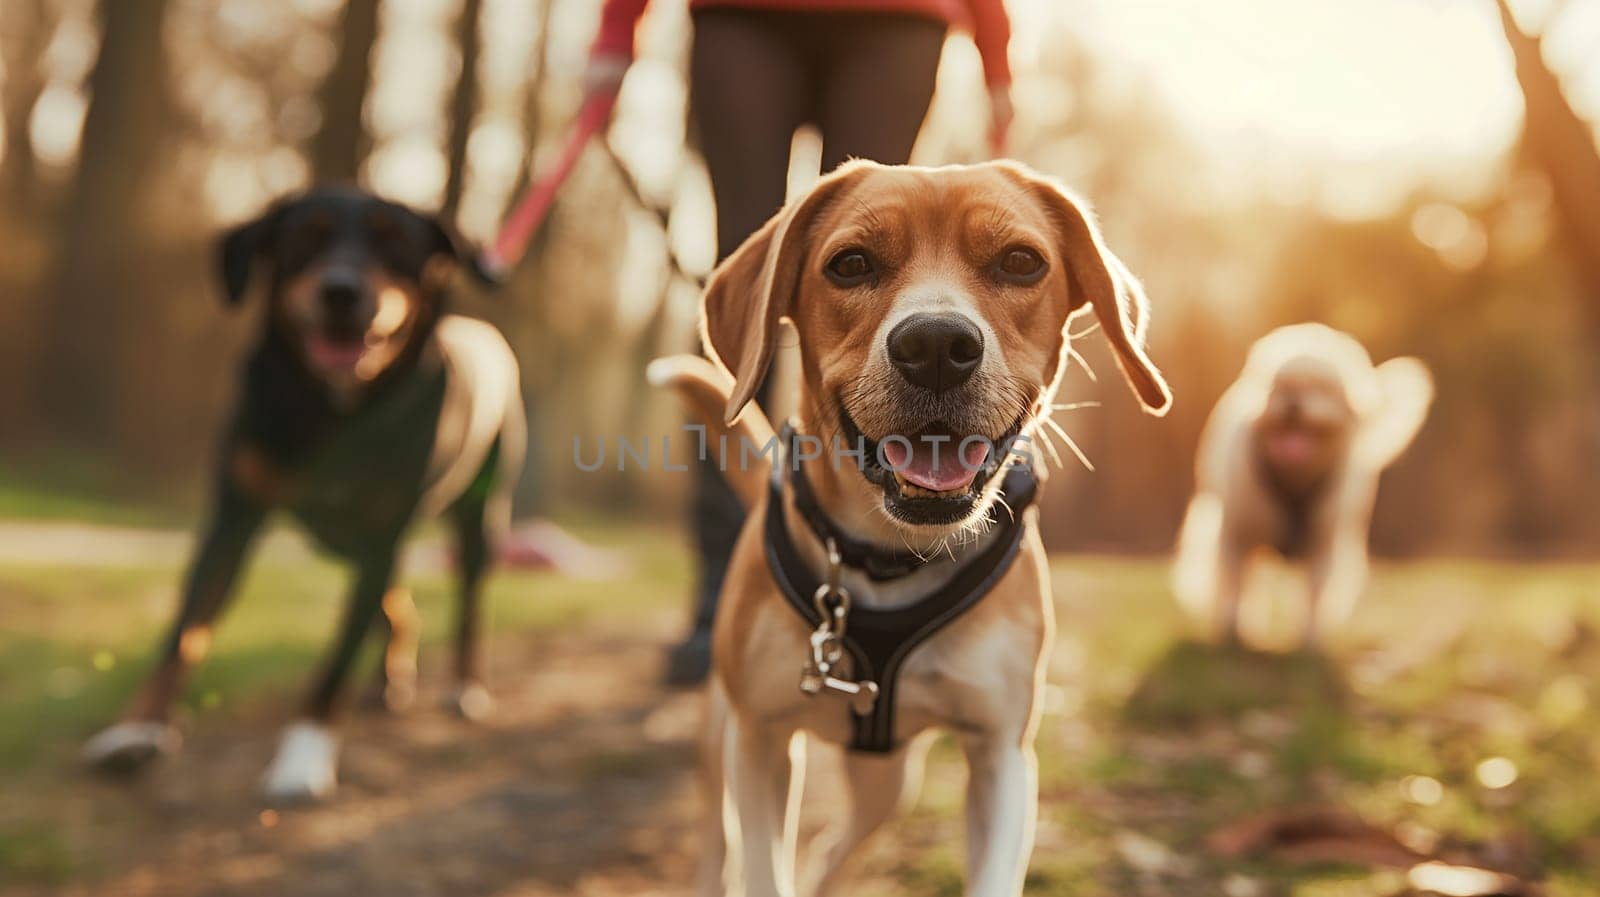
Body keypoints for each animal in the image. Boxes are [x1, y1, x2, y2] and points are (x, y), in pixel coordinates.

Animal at [82, 187, 524, 796]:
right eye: (304, 239)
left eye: (394, 243)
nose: (341, 291)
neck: (330, 411)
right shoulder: (233, 518)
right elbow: (185, 632)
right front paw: (137, 731)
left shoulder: (381, 535)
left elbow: (334, 665)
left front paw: (302, 758)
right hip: (347, 544)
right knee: (398, 606)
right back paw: (389, 680)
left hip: (477, 513)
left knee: (467, 605)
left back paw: (464, 687)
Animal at [646, 160, 1164, 895]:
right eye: (851, 263)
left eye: (1020, 262)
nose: (937, 345)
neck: (892, 555)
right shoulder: (760, 741)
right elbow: (762, 868)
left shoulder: (1002, 756)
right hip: (724, 741)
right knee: (720, 847)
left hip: (888, 781)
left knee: (835, 846)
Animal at [1171, 321, 1433, 642]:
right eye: (1280, 386)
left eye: (1322, 388)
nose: (1292, 403)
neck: (1294, 477)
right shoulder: (1236, 535)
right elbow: (1235, 585)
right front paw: (1232, 630)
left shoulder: (1323, 544)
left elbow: (1314, 597)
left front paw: (1309, 638)